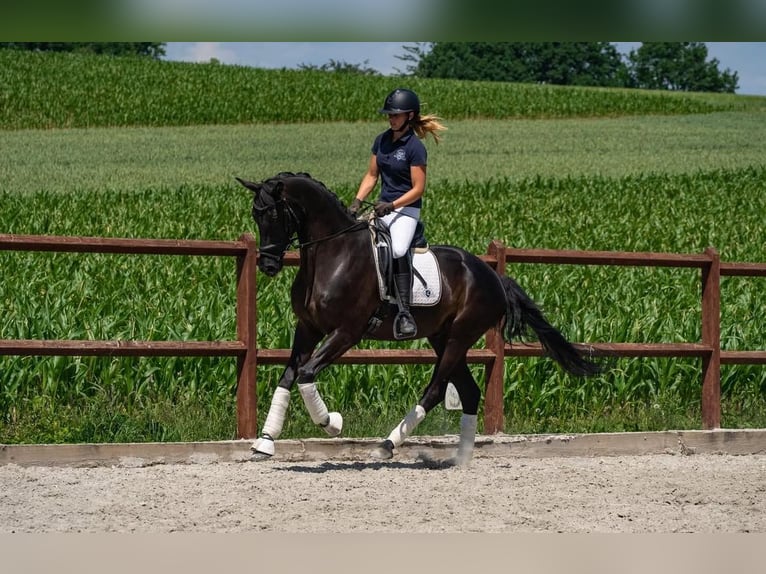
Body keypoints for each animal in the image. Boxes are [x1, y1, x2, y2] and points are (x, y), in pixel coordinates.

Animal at [236, 171, 602, 466]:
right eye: (255, 214)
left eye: (273, 213)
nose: (268, 265)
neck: (332, 254)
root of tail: (494, 276)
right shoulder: (308, 328)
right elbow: (288, 376)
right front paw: (264, 443)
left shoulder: (347, 332)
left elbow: (306, 373)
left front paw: (331, 423)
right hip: (442, 337)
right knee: (468, 392)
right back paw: (460, 458)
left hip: (458, 337)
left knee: (437, 389)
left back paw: (386, 445)